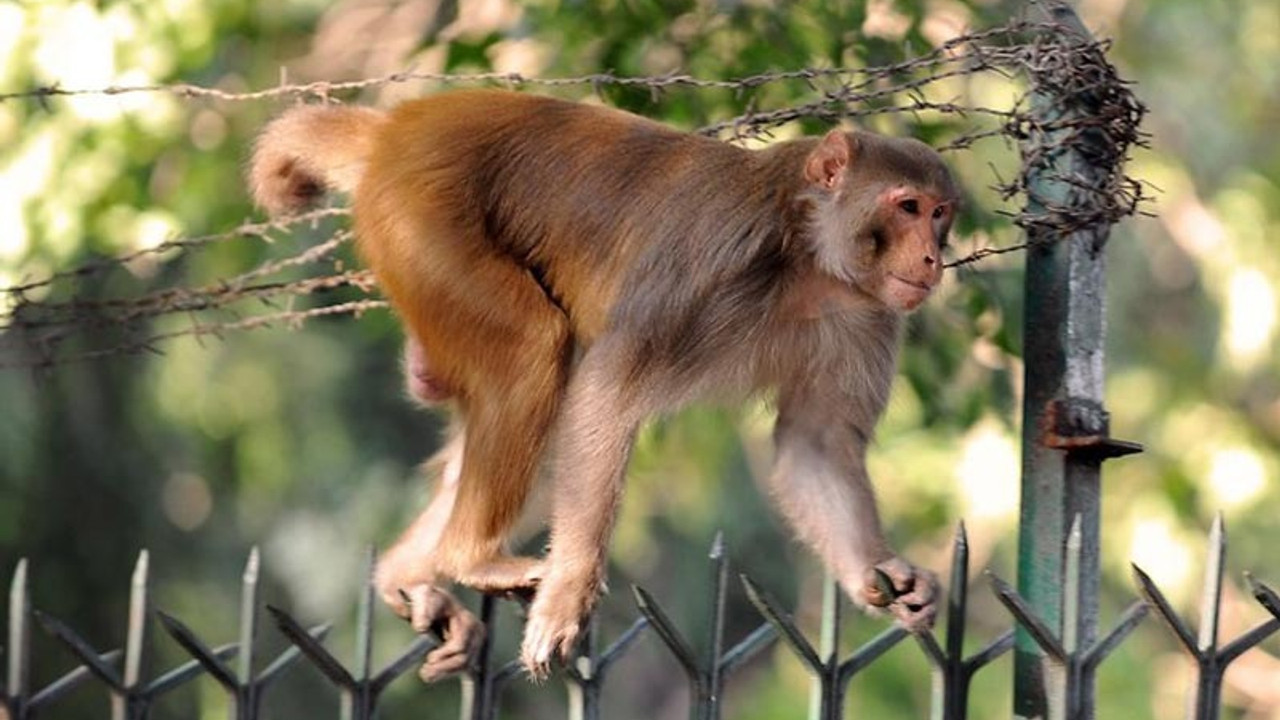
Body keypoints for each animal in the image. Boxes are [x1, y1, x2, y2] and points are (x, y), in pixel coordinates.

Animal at [247, 87, 962, 676]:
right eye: (906, 207)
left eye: (940, 214)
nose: (933, 258)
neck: (808, 258)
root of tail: (400, 125)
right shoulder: (709, 268)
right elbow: (605, 395)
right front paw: (569, 594)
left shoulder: (866, 317)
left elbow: (815, 442)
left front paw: (883, 570)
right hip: (422, 219)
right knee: (534, 352)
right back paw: (473, 556)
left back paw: (407, 574)